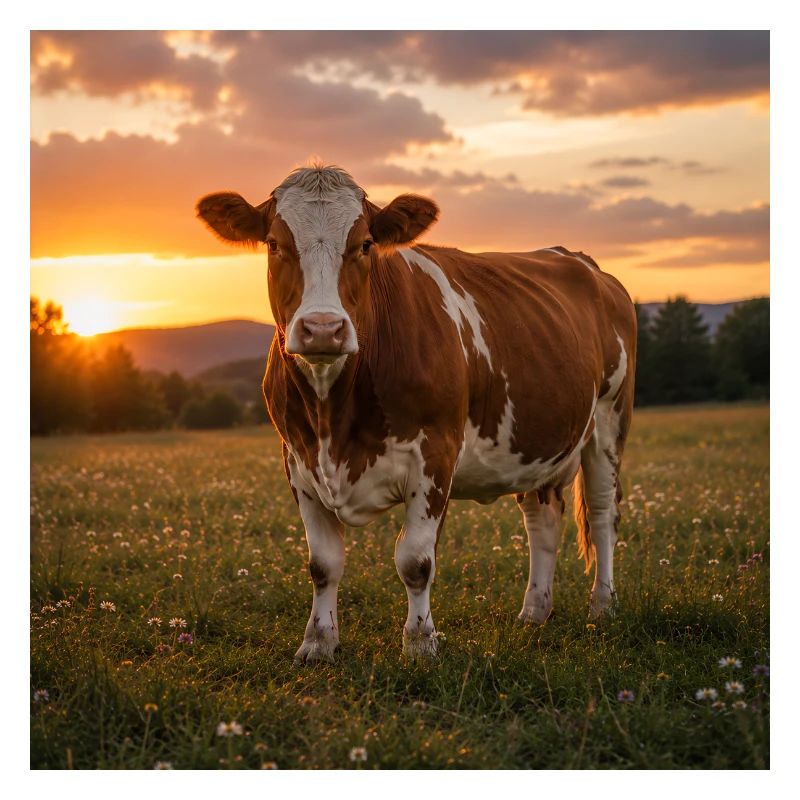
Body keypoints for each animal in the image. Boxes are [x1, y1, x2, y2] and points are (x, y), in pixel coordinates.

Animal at [197, 164, 636, 663]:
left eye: (366, 243)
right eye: (274, 243)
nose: (323, 329)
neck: (334, 421)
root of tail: (581, 261)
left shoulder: (435, 454)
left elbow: (415, 561)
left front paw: (420, 642)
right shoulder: (297, 459)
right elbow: (323, 563)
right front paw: (318, 642)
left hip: (609, 422)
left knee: (602, 514)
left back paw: (602, 606)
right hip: (538, 439)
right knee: (542, 517)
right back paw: (533, 612)